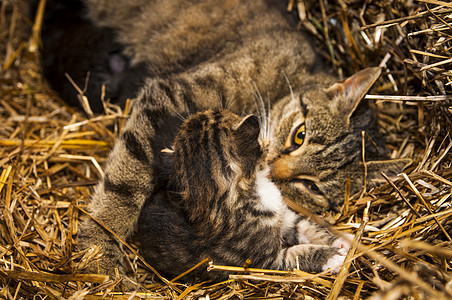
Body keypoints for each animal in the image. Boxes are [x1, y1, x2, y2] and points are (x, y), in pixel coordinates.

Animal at [136, 110, 348, 282]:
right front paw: (333, 257)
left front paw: (342, 242)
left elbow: (308, 228)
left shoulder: (286, 218)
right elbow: (299, 253)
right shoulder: (265, 262)